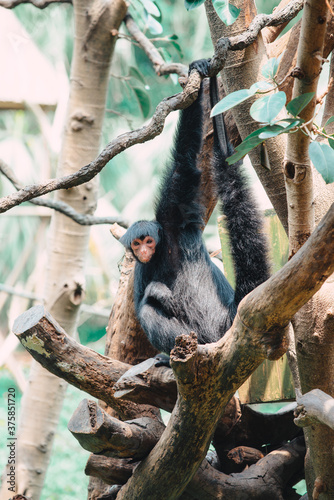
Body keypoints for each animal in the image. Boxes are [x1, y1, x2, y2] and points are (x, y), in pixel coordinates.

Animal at [118, 58, 270, 356]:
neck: (162, 251)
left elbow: (184, 164)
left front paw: (196, 73)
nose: (143, 251)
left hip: (210, 329)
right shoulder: (141, 270)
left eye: (148, 241)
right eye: (137, 244)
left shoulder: (172, 215)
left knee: (149, 308)